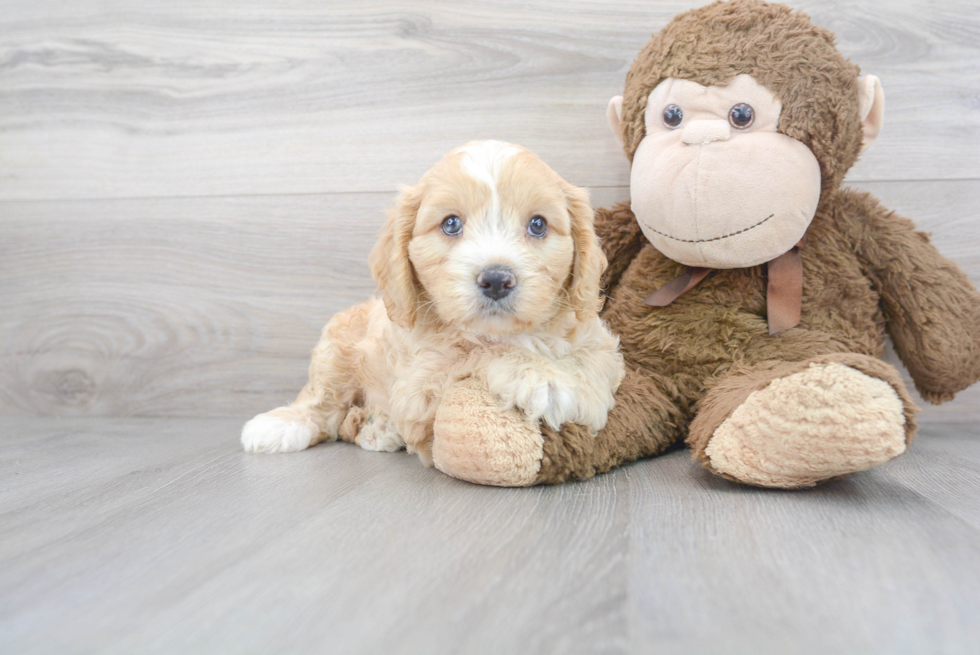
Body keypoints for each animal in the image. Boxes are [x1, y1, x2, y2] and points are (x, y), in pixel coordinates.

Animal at [241, 141, 624, 464]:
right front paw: (542, 378)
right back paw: (284, 425)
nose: (496, 279)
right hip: (334, 352)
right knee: (322, 401)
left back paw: (378, 428)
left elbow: (597, 359)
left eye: (538, 225)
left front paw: (580, 389)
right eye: (451, 224)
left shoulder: (597, 338)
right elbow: (476, 351)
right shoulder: (419, 384)